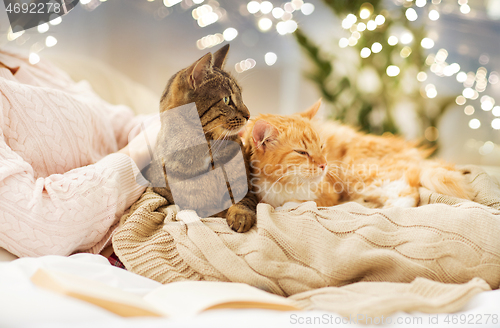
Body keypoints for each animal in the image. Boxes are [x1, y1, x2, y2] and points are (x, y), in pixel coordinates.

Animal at [142, 44, 256, 232]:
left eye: (241, 96)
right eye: (227, 99)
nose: (248, 115)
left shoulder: (248, 185)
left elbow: (243, 201)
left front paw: (240, 215)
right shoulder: (164, 193)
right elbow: (198, 208)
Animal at [244, 98, 474, 209]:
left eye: (321, 147)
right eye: (302, 152)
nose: (324, 164)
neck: (282, 185)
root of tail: (414, 152)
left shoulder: (329, 194)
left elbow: (299, 204)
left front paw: (288, 205)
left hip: (360, 172)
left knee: (407, 191)